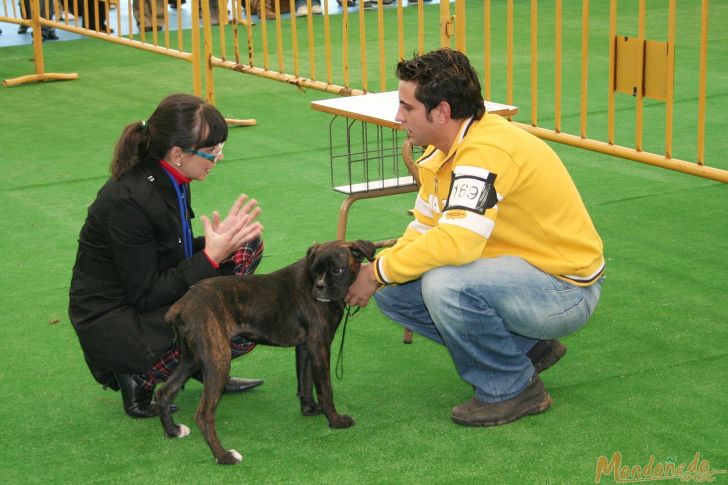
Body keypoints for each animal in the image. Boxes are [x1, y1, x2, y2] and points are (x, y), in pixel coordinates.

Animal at [158, 240, 376, 464]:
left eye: (336, 270)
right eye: (315, 272)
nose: (320, 286)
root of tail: (182, 305)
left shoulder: (306, 347)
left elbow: (305, 382)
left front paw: (310, 409)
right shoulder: (320, 345)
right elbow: (325, 388)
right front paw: (335, 420)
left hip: (190, 359)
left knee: (165, 391)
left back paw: (173, 431)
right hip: (218, 360)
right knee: (203, 414)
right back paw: (224, 456)